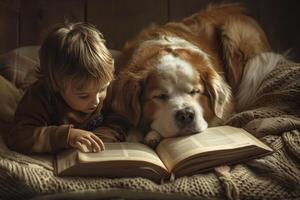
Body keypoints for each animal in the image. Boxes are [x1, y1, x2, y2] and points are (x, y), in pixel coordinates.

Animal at [105, 3, 272, 147]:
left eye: (195, 92)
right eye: (160, 96)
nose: (185, 114)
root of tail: (239, 9)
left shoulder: (226, 110)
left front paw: (152, 135)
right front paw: (136, 134)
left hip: (235, 34)